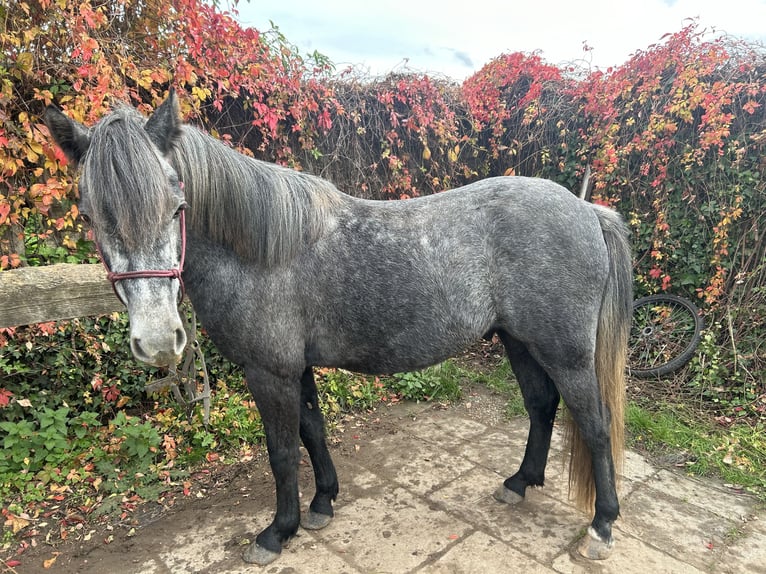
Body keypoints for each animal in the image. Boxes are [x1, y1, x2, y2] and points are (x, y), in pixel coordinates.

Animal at [46, 92, 636, 568]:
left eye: (178, 206)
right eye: (90, 215)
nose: (157, 341)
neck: (263, 251)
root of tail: (586, 209)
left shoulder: (269, 372)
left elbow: (282, 451)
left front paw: (277, 532)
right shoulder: (295, 367)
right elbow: (313, 431)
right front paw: (322, 502)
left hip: (566, 351)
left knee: (595, 424)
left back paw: (602, 526)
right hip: (521, 342)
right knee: (541, 406)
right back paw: (519, 483)